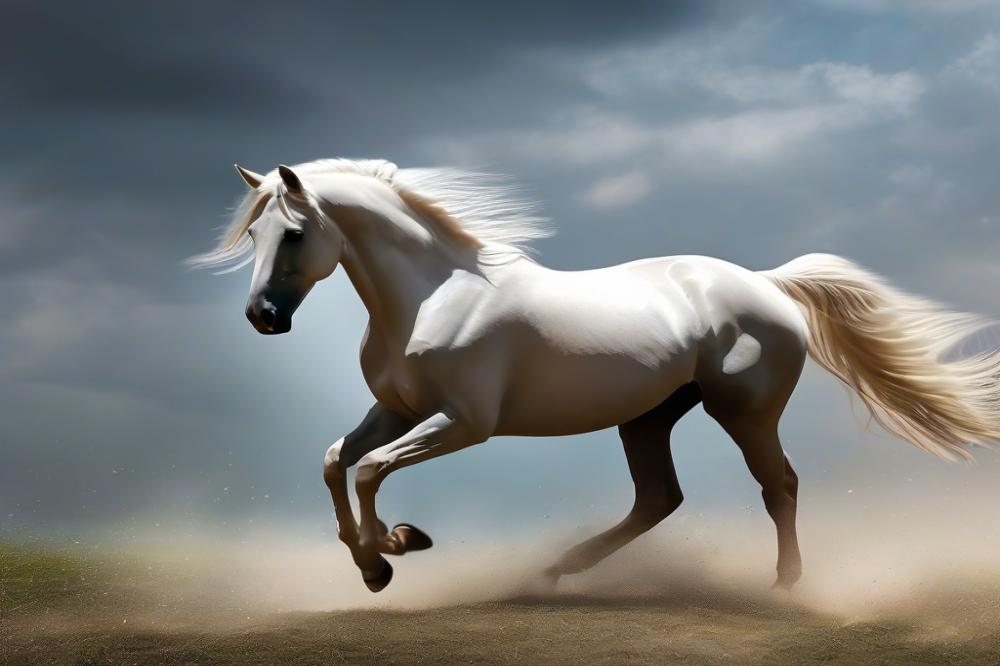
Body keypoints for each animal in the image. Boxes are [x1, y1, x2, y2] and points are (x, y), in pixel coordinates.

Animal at [191, 158, 1000, 593]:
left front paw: (398, 545)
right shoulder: (396, 409)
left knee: (780, 486)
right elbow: (338, 460)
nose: (263, 316)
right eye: (255, 234)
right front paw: (372, 567)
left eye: (296, 232)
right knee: (659, 499)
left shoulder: (464, 423)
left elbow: (370, 471)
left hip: (742, 411)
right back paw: (556, 571)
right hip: (648, 415)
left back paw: (784, 586)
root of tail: (766, 283)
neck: (431, 297)